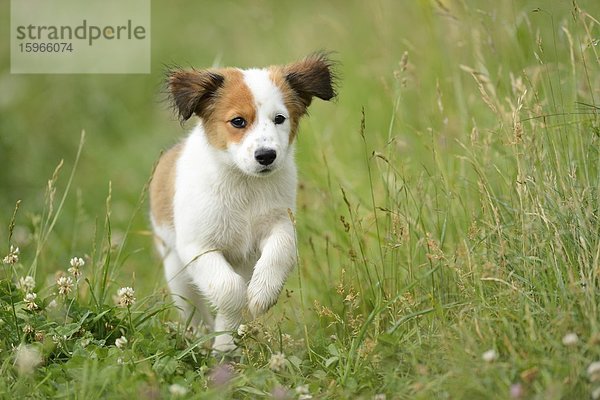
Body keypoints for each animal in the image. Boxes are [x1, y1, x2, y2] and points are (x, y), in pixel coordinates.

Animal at [149, 53, 336, 350]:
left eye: (279, 119)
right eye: (238, 121)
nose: (266, 155)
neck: (244, 186)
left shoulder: (281, 224)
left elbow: (278, 254)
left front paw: (262, 294)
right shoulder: (197, 247)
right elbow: (228, 290)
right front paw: (224, 341)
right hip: (176, 268)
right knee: (192, 307)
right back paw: (201, 337)